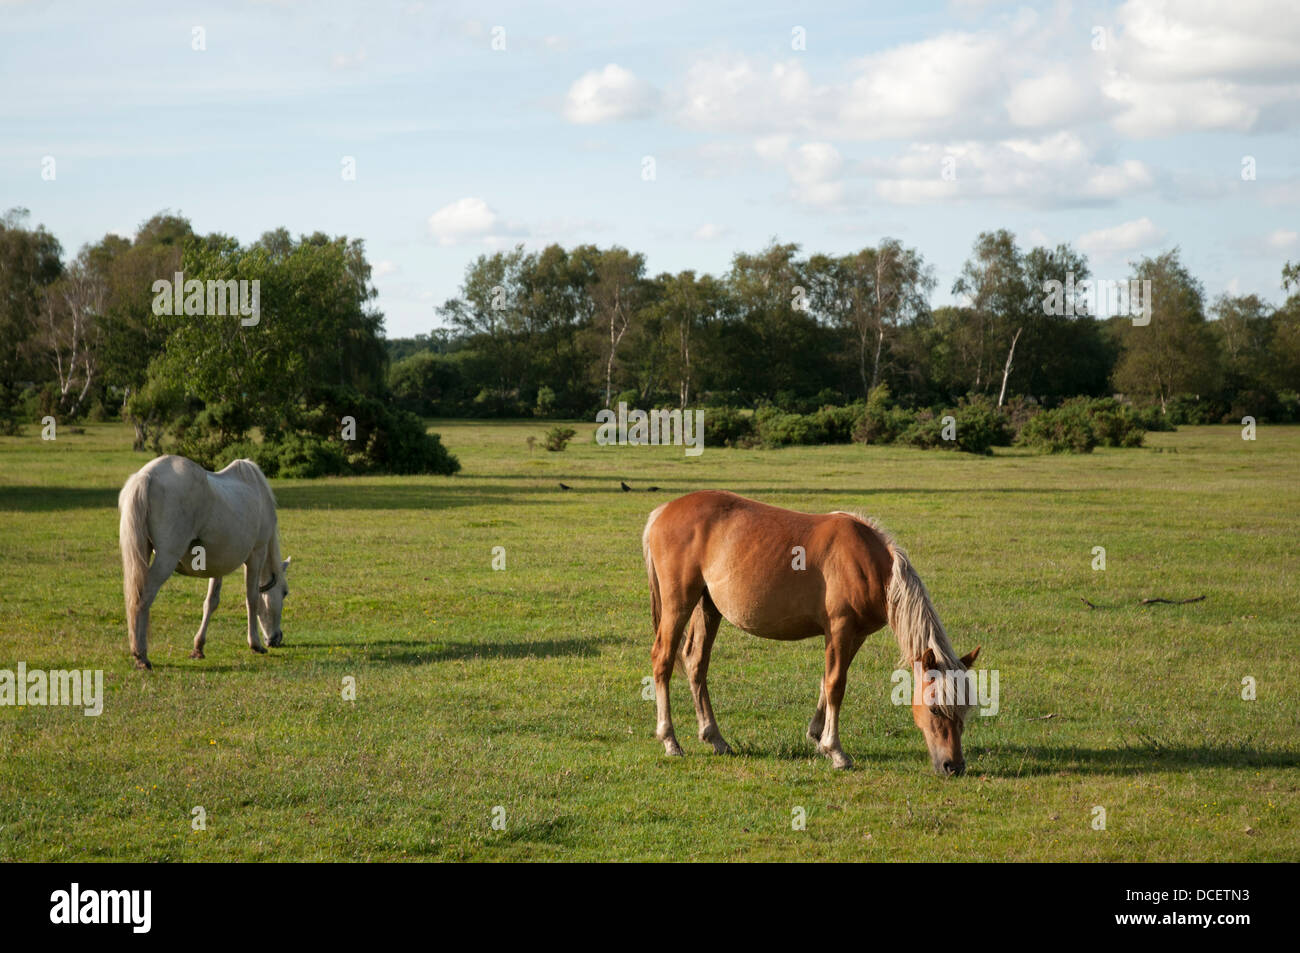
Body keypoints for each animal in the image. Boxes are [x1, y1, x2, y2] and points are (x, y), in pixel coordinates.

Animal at [118, 455, 291, 670]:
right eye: (284, 592)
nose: (276, 638)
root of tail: (146, 476)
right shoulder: (256, 555)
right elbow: (252, 599)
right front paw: (255, 644)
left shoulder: (218, 564)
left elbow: (211, 602)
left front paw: (198, 647)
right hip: (166, 559)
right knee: (143, 599)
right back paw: (141, 655)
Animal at [644, 491, 977, 774]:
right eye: (935, 709)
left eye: (965, 709)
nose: (954, 766)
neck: (869, 565)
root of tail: (662, 511)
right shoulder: (840, 630)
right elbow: (835, 685)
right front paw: (836, 751)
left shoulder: (855, 635)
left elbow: (826, 683)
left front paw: (817, 737)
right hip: (679, 604)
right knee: (663, 659)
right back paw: (670, 740)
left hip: (707, 606)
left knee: (696, 662)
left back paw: (715, 738)